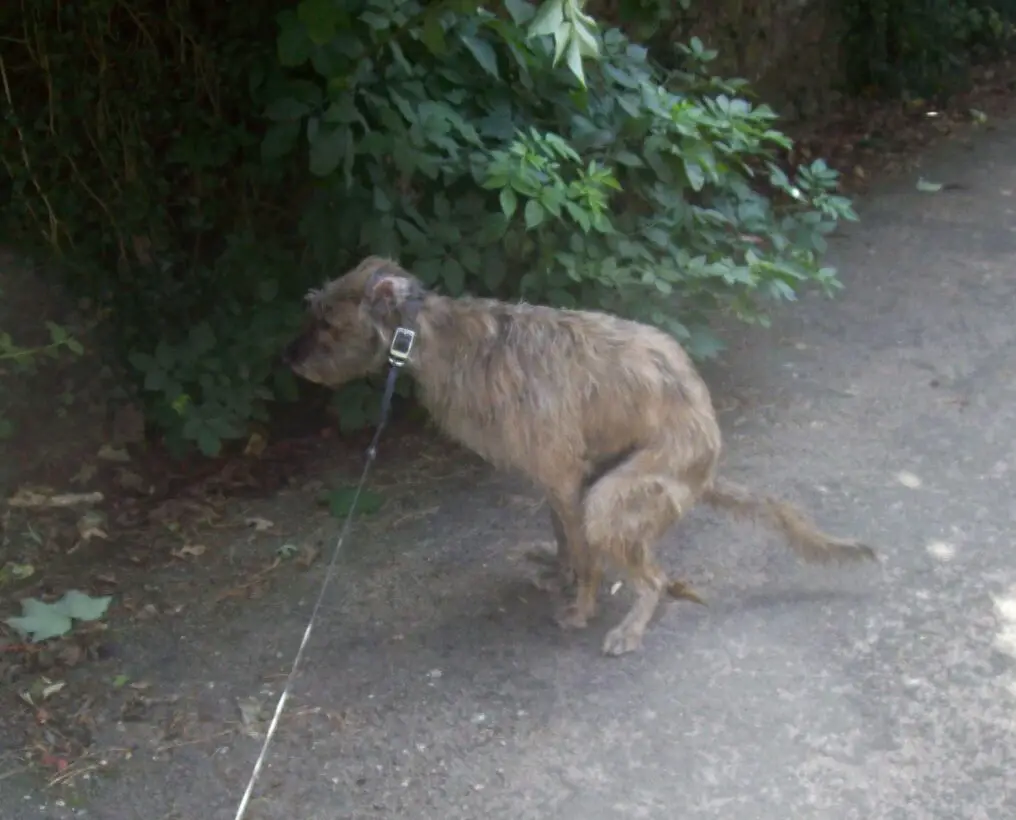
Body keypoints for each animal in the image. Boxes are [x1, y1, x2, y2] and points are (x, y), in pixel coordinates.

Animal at [282, 256, 877, 654]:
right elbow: (565, 540)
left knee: (654, 576)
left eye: (329, 322)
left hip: (618, 495)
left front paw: (582, 607)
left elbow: (588, 557)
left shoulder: (566, 477)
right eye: (314, 310)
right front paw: (559, 571)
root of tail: (707, 465)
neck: (439, 338)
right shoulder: (554, 479)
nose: (289, 359)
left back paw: (632, 624)